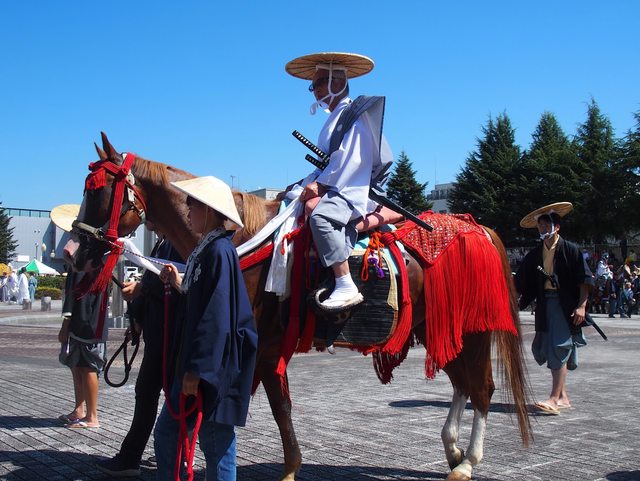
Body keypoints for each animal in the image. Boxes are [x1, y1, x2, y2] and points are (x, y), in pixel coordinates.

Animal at [64, 133, 532, 481]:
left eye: (100, 192)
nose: (76, 252)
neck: (241, 237)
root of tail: (478, 228)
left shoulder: (261, 346)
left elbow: (270, 405)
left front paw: (286, 467)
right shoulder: (265, 348)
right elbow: (272, 404)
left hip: (472, 330)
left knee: (481, 389)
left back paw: (468, 460)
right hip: (439, 327)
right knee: (462, 385)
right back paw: (452, 448)